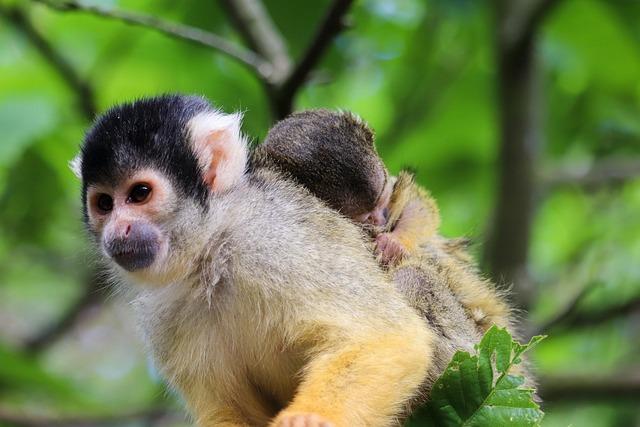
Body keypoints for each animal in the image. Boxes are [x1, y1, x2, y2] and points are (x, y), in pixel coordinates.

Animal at [72, 96, 438, 427]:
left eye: (140, 193)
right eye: (104, 204)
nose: (118, 230)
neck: (212, 255)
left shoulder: (278, 239)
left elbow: (385, 338)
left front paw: (307, 420)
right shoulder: (162, 317)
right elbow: (230, 411)